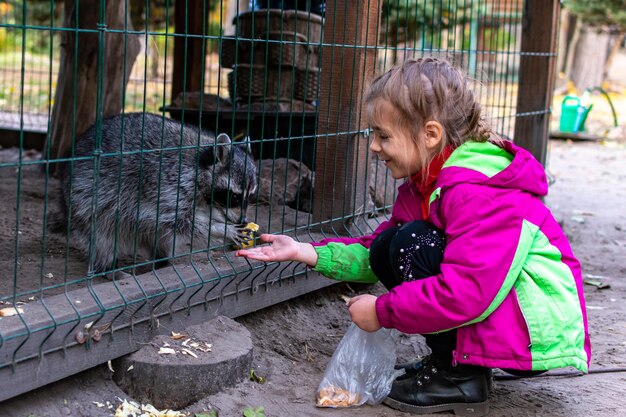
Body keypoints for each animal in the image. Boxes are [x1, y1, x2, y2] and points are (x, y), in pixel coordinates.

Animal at [54, 111, 256, 272]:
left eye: (250, 196)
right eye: (234, 196)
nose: (243, 219)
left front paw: (221, 219)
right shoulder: (171, 185)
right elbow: (181, 222)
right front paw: (221, 229)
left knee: (161, 237)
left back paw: (161, 261)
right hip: (86, 197)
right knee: (102, 236)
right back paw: (108, 267)